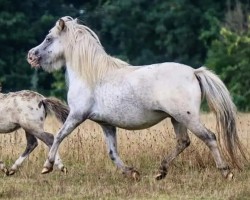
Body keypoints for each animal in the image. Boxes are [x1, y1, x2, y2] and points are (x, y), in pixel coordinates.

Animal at [26, 16, 245, 180]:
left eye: (48, 38)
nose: (31, 55)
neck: (91, 75)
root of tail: (194, 72)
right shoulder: (106, 124)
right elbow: (112, 153)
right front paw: (131, 172)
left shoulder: (77, 115)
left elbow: (58, 136)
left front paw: (47, 166)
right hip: (177, 119)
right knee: (183, 142)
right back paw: (160, 172)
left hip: (188, 117)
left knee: (210, 137)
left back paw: (225, 172)